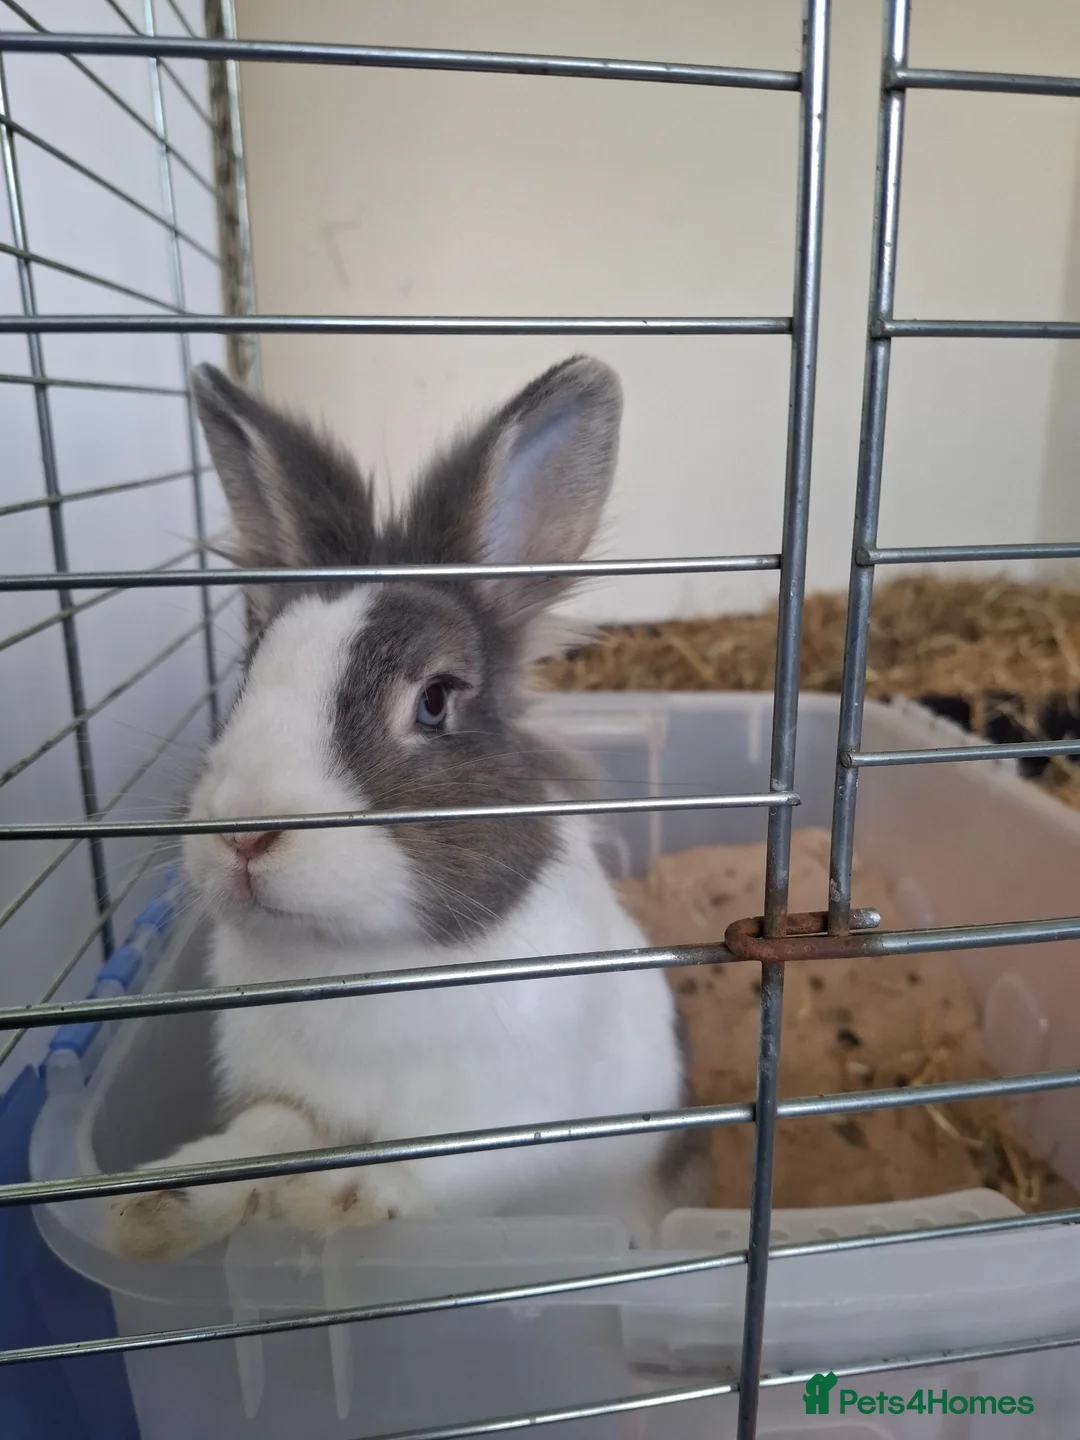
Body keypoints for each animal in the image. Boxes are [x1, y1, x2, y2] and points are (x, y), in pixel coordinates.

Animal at [106, 356, 706, 1263]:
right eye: (246, 680)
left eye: (433, 702)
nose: (245, 830)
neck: (353, 960)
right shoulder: (282, 1092)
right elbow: (266, 1135)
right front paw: (159, 1202)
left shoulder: (514, 1120)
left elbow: (440, 1166)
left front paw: (335, 1199)